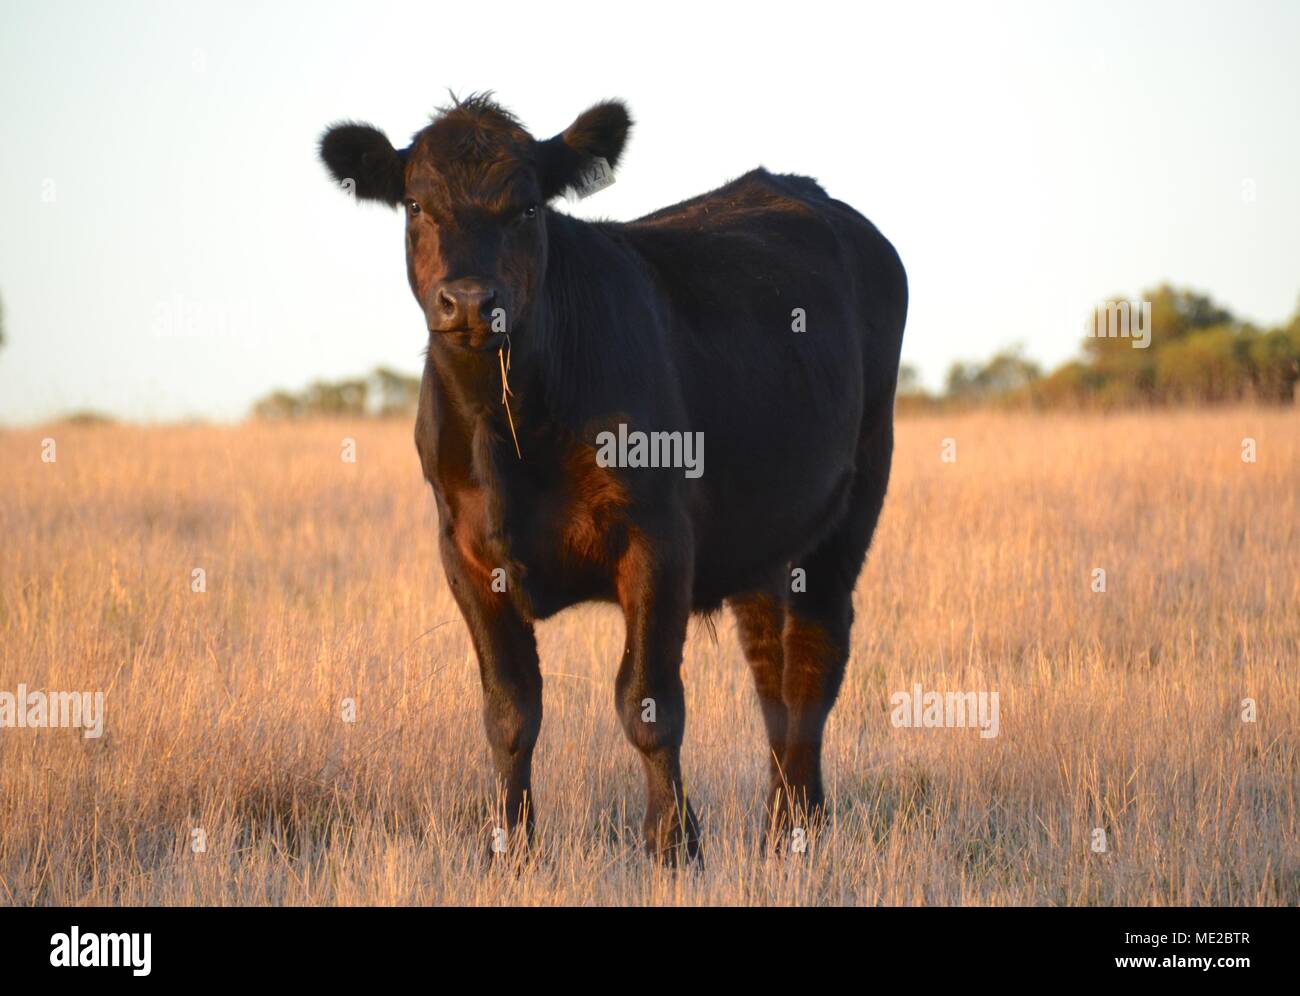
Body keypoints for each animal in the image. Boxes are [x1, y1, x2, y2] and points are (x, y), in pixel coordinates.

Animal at [317, 95, 904, 863]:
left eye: (528, 207)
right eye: (417, 204)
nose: (470, 301)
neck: (507, 431)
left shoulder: (658, 540)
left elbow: (647, 704)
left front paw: (673, 844)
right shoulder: (463, 553)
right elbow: (509, 709)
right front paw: (511, 849)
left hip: (852, 502)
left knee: (813, 661)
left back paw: (797, 827)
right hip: (761, 539)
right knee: (768, 668)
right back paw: (780, 823)